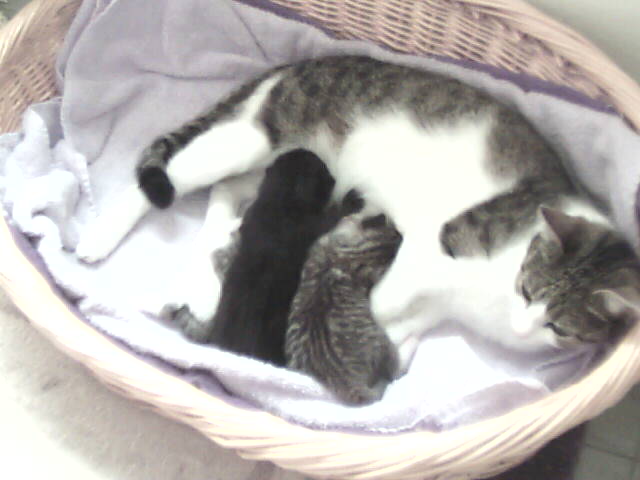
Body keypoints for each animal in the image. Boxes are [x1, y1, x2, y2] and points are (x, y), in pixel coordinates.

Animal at [172, 148, 337, 365]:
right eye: (323, 169)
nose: (334, 179)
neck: (280, 199)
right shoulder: (312, 225)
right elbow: (332, 217)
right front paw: (352, 200)